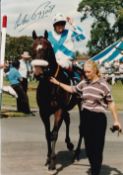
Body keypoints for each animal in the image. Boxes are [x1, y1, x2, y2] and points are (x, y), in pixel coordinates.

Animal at [31, 30, 83, 171]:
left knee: (81, 128)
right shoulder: (43, 112)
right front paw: (48, 158)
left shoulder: (58, 110)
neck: (50, 85)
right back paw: (69, 144)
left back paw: (76, 153)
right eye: (32, 49)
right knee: (68, 119)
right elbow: (47, 134)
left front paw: (53, 163)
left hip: (82, 104)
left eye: (46, 49)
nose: (38, 73)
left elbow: (54, 134)